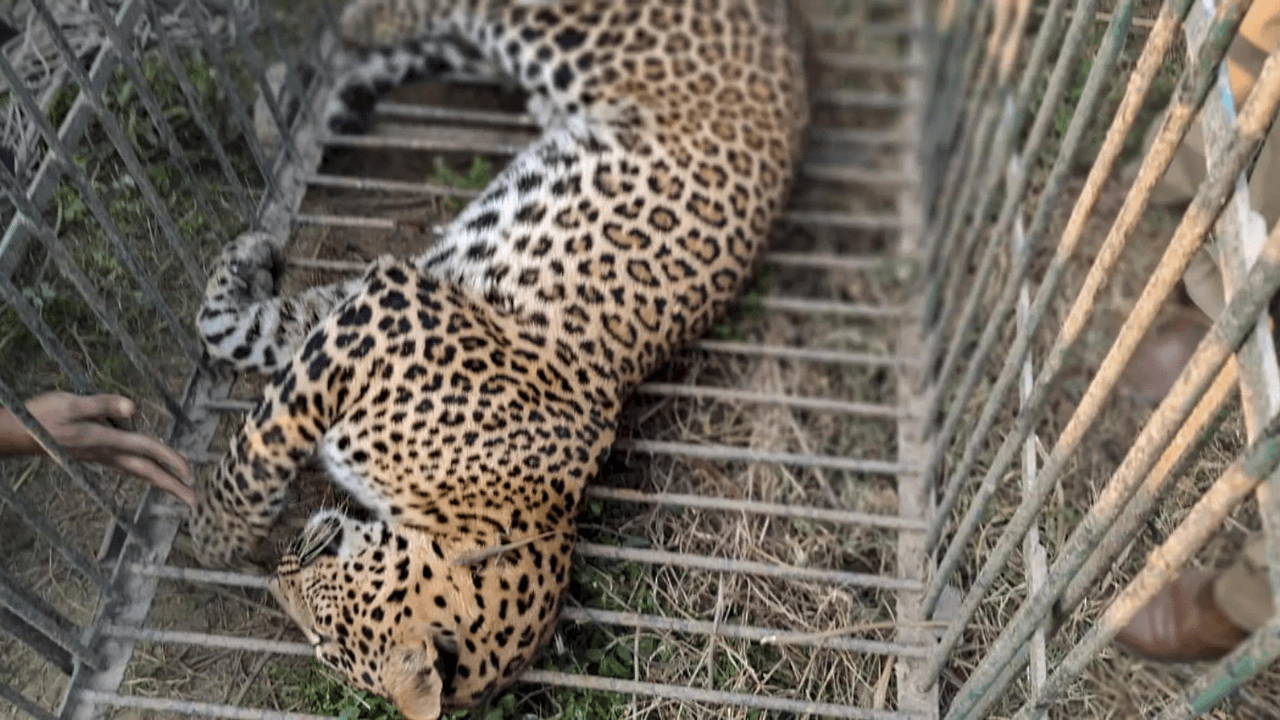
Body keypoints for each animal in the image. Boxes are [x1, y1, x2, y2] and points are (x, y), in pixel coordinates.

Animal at [189, 0, 810, 717]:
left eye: (324, 641)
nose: (276, 577)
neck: (482, 512)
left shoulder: (374, 314)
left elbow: (258, 349)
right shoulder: (384, 311)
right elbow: (258, 412)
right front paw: (215, 532)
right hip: (572, 35)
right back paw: (349, 32)